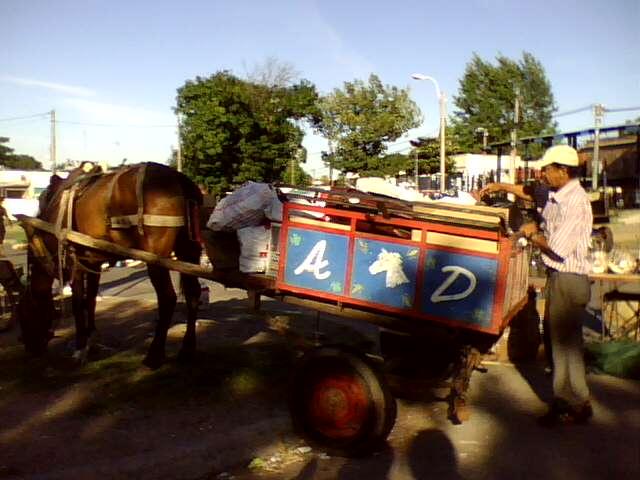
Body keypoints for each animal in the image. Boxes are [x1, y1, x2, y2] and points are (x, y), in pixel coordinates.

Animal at [18, 161, 202, 368]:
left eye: (23, 314)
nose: (31, 349)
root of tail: (179, 179)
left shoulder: (76, 264)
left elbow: (78, 304)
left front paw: (80, 347)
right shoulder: (93, 264)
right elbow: (90, 300)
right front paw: (91, 339)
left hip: (156, 257)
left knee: (167, 298)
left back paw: (154, 355)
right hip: (188, 250)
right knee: (193, 294)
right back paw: (187, 350)